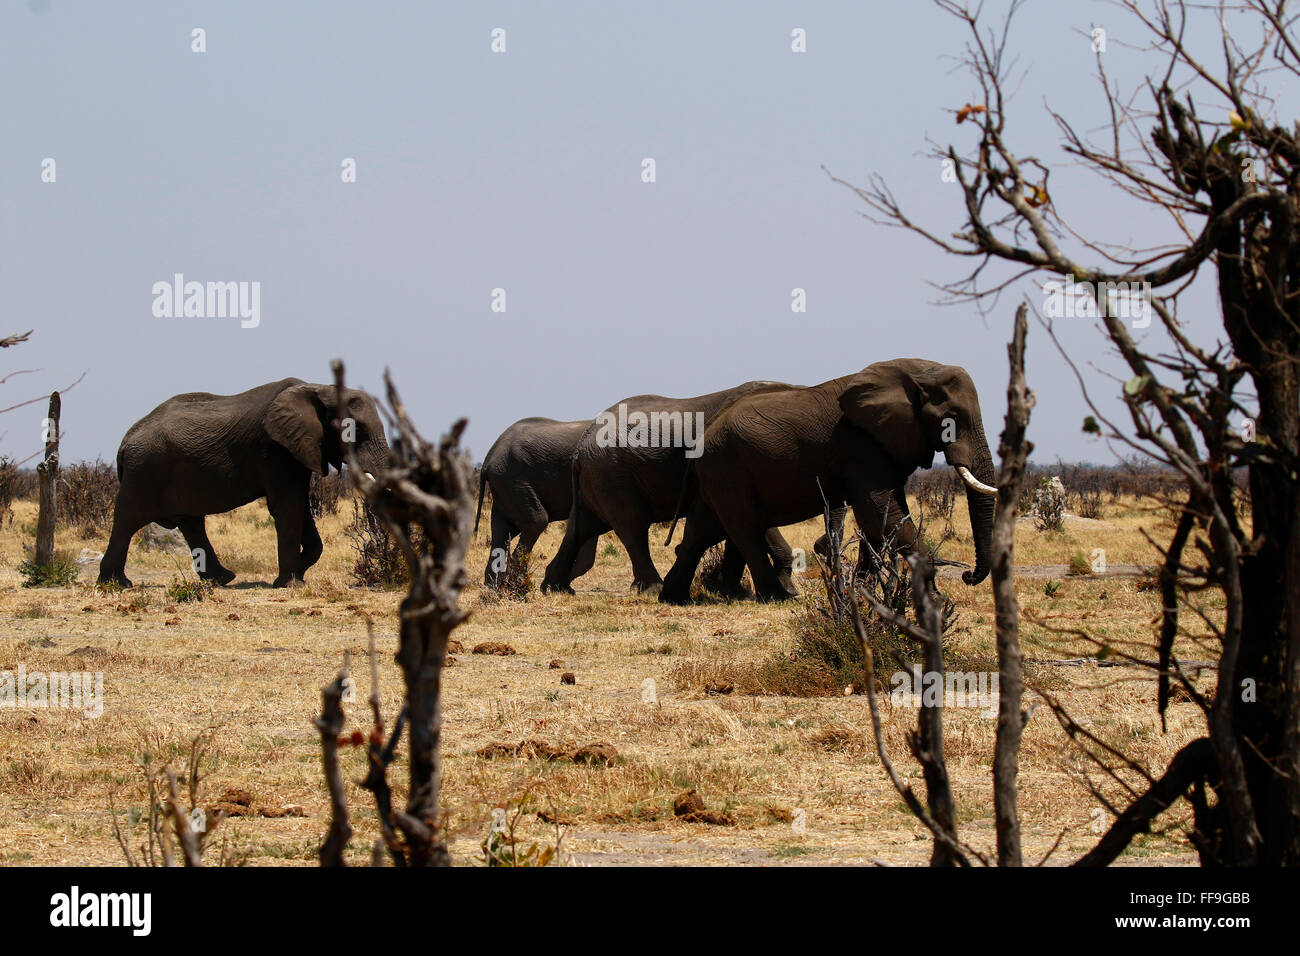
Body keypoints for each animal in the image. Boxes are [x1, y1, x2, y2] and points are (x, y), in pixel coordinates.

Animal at [97, 377, 389, 588]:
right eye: (355, 430)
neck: (319, 388)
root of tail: (125, 441)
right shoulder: (274, 449)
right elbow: (287, 506)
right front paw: (290, 583)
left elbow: (300, 507)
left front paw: (298, 573)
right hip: (144, 470)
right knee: (127, 521)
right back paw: (116, 584)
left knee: (191, 523)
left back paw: (223, 579)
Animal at [475, 417, 599, 588]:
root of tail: (488, 459)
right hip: (513, 481)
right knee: (535, 522)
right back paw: (517, 586)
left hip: (504, 485)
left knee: (501, 531)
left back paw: (494, 587)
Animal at [541, 381, 812, 596]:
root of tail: (581, 447)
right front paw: (786, 591)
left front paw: (741, 592)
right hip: (611, 475)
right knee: (632, 527)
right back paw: (654, 589)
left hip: (598, 478)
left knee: (581, 529)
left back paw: (556, 588)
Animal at [658, 359, 998, 605]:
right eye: (951, 419)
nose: (968, 575)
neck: (917, 371)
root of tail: (703, 437)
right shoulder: (860, 444)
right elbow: (880, 511)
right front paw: (936, 602)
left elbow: (881, 519)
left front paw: (862, 594)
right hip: (727, 468)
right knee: (745, 528)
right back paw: (779, 598)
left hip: (718, 473)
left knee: (702, 530)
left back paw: (673, 599)